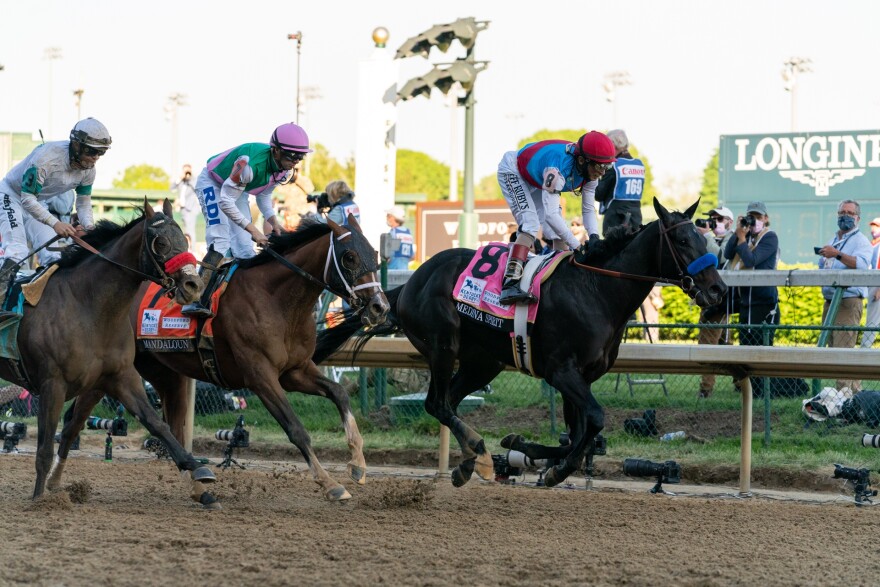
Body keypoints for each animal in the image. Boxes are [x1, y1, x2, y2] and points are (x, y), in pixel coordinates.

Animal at [3, 199, 220, 506]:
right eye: (161, 242)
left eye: (185, 240)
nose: (194, 287)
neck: (89, 306)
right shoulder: (52, 384)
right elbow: (44, 448)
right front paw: (39, 500)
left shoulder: (121, 377)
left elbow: (157, 423)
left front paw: (196, 469)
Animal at [130, 215, 388, 500]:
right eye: (349, 257)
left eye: (374, 253)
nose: (380, 307)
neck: (276, 301)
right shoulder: (260, 377)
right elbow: (296, 429)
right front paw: (330, 483)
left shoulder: (294, 371)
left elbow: (339, 393)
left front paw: (358, 464)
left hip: (163, 370)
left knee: (173, 423)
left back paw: (199, 486)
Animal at [312, 198, 724, 486]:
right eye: (683, 240)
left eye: (706, 239)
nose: (717, 289)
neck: (595, 289)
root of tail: (406, 284)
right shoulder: (561, 372)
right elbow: (593, 420)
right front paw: (552, 468)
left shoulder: (582, 377)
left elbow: (579, 433)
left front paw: (529, 452)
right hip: (444, 345)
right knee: (436, 403)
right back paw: (477, 454)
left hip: (483, 363)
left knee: (448, 403)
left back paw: (467, 463)